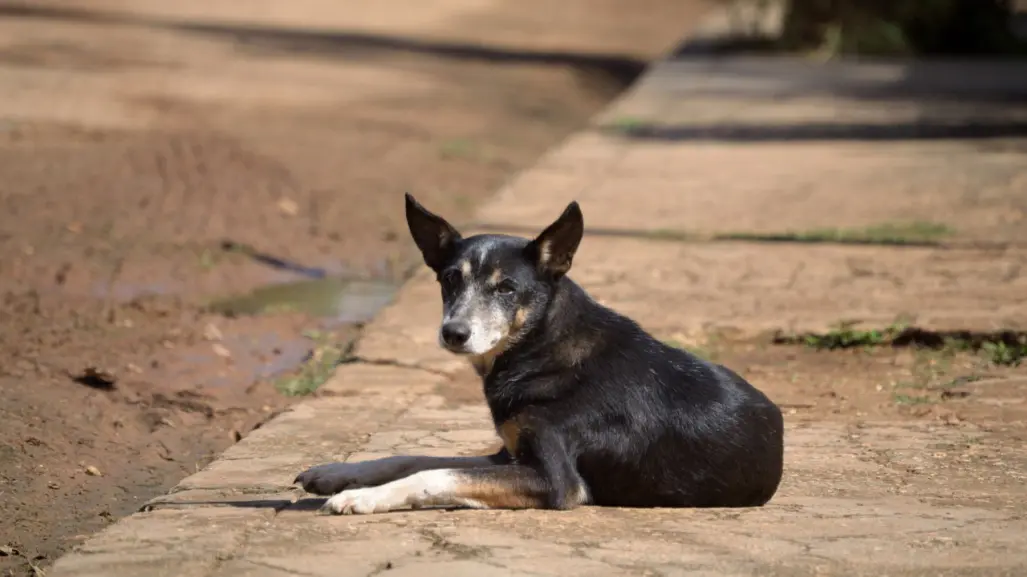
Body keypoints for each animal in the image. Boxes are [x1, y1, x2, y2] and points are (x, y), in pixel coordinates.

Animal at [297, 193, 784, 511]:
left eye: (506, 288)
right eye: (450, 279)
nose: (453, 333)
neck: (540, 346)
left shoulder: (555, 481)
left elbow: (434, 475)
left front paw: (361, 497)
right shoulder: (508, 453)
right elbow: (413, 458)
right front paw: (335, 473)